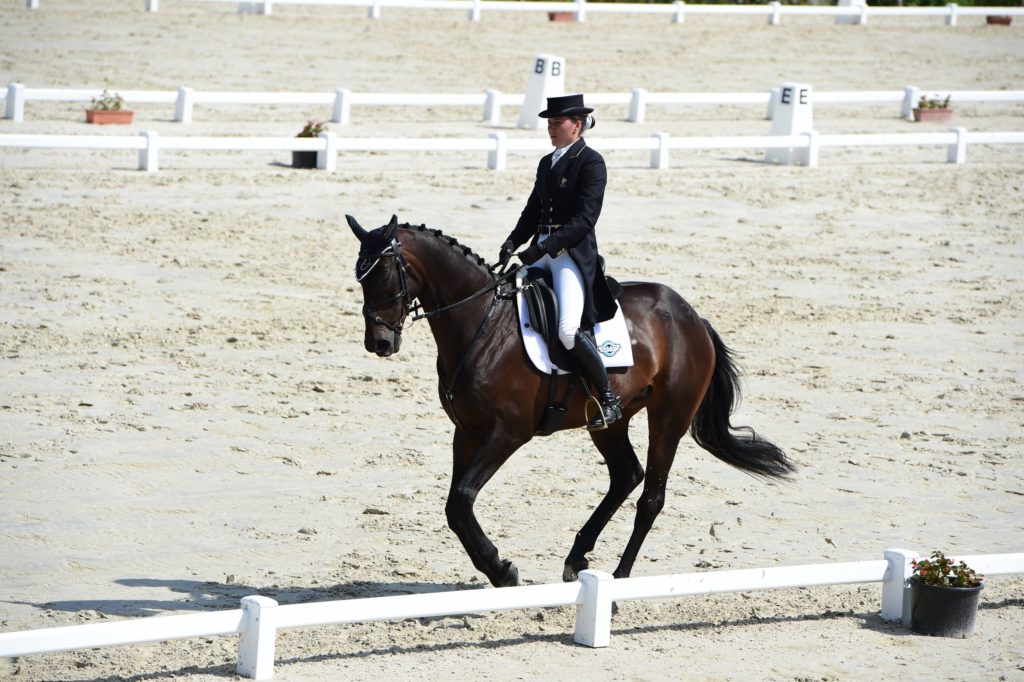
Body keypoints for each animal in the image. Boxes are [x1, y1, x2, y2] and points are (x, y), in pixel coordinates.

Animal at [346, 215, 790, 585]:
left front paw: (502, 570)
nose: (379, 343)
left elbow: (462, 499)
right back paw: (577, 558)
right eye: (360, 278)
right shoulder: (468, 431)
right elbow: (456, 506)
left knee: (651, 497)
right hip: (610, 420)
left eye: (384, 273)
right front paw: (499, 569)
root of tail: (693, 317)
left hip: (669, 419)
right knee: (626, 474)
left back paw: (619, 580)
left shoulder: (508, 432)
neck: (481, 322)